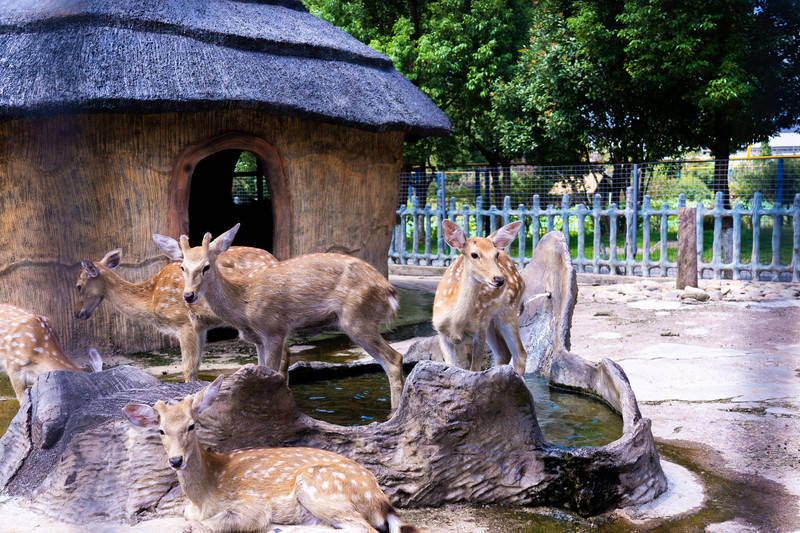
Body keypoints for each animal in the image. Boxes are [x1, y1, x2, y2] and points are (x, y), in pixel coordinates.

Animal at [77, 245, 278, 382]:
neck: (152, 298)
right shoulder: (200, 327)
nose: (79, 314)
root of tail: (274, 260)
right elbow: (196, 366)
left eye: (78, 286)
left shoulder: (183, 321)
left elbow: (188, 369)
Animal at [123, 374, 418, 532]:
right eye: (161, 430)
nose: (176, 460)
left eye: (192, 425)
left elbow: (206, 525)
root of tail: (381, 500)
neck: (203, 495)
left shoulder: (250, 503)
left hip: (316, 484)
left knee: (362, 528)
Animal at [153, 222, 406, 410]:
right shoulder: (258, 339)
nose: (188, 295)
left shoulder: (273, 328)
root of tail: (389, 291)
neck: (243, 305)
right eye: (182, 267)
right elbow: (260, 373)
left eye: (206, 266)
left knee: (394, 359)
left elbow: (273, 373)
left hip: (358, 318)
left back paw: (394, 412)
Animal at [434, 220, 528, 374]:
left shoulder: (479, 330)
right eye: (474, 254)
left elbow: (474, 370)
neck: (456, 325)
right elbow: (451, 366)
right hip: (489, 322)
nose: (499, 279)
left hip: (507, 311)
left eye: (496, 254)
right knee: (503, 353)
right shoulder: (441, 332)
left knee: (520, 354)